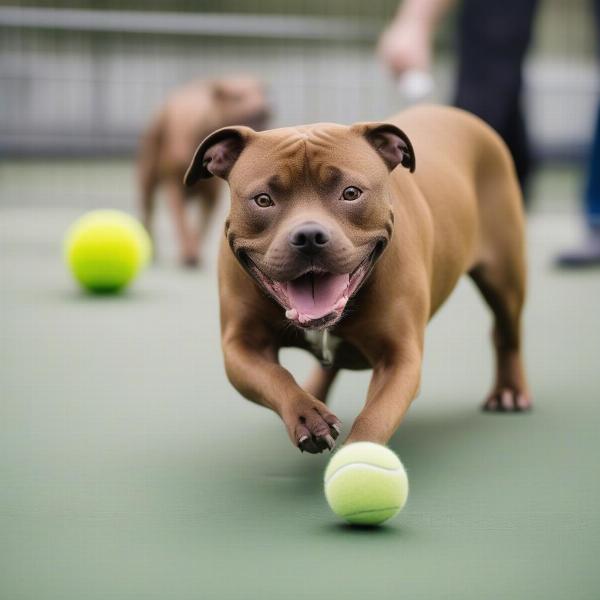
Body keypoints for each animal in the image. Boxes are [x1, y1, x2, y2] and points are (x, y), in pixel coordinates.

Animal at [138, 75, 270, 264]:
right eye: (237, 97)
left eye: (261, 93)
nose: (265, 108)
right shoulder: (174, 188)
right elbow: (182, 223)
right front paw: (188, 250)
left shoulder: (210, 197)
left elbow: (201, 226)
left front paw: (193, 249)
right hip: (147, 178)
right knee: (148, 212)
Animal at [185, 106, 532, 454]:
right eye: (263, 199)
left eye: (350, 193)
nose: (309, 236)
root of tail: (452, 111)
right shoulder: (241, 347)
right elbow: (276, 377)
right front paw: (307, 414)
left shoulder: (400, 359)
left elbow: (375, 416)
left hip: (505, 281)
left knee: (507, 334)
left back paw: (509, 391)